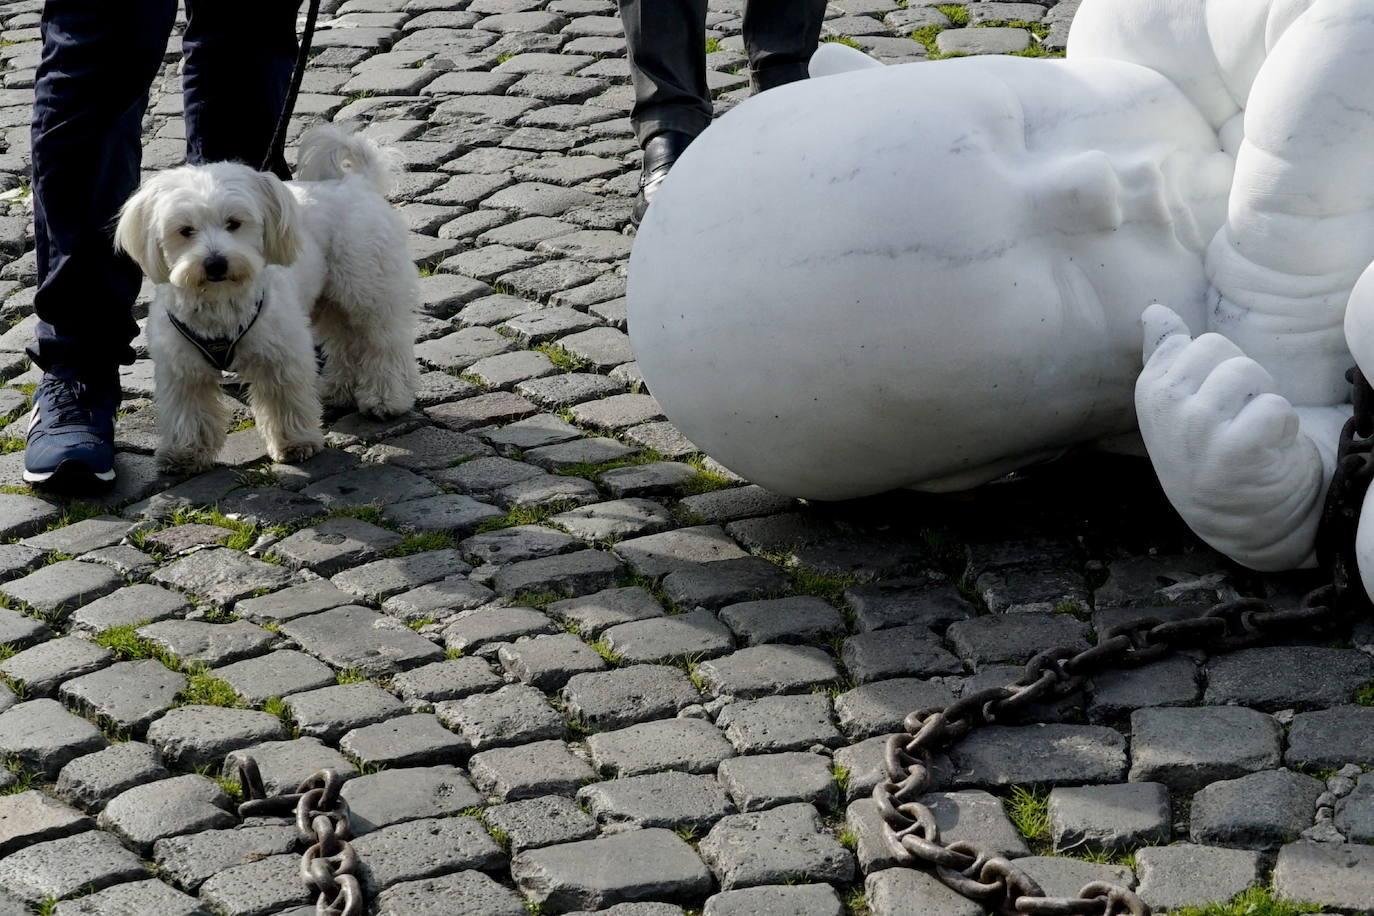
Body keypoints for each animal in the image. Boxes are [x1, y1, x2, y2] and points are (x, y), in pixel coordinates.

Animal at [114, 125, 414, 472]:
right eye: (185, 230)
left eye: (233, 223)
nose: (215, 263)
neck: (220, 301)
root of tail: (357, 182)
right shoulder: (182, 369)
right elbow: (190, 412)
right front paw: (185, 453)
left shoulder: (280, 355)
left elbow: (284, 401)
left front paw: (295, 443)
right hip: (327, 301)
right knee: (343, 342)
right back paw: (337, 389)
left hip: (368, 292)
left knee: (383, 345)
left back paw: (385, 398)